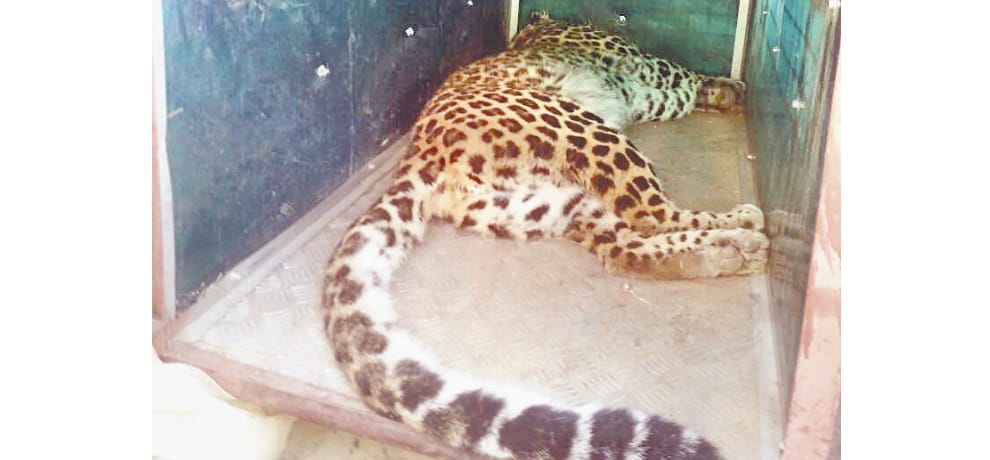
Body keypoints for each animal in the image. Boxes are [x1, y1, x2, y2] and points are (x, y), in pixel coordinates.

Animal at [323, 13, 766, 460]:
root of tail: (420, 154)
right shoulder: (641, 65)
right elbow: (681, 75)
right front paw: (729, 88)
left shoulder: (644, 93)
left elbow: (679, 94)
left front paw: (722, 93)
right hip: (582, 130)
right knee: (649, 213)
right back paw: (745, 228)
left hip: (551, 204)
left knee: (625, 249)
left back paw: (729, 254)